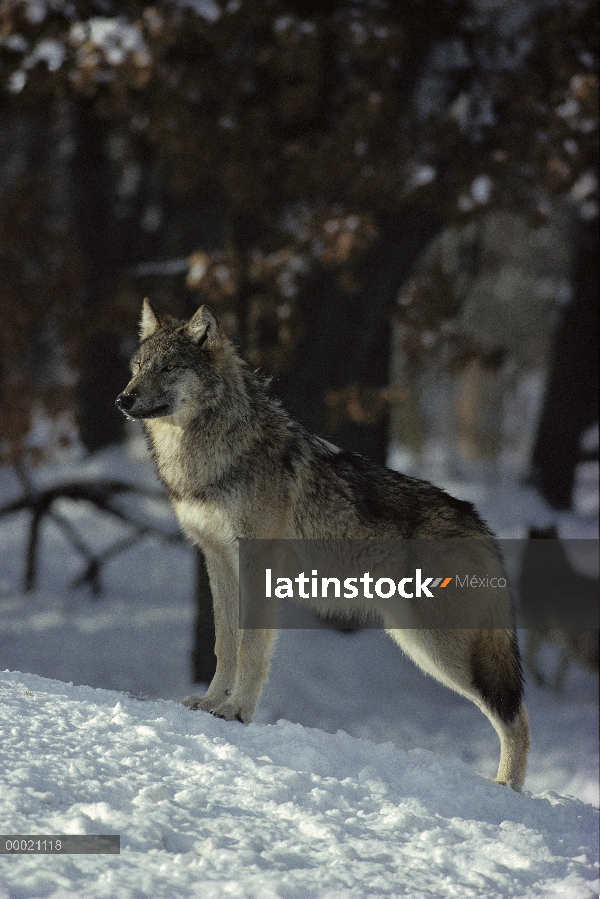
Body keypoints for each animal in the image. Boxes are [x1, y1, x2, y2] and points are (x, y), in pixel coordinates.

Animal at [116, 300, 528, 788]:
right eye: (137, 367)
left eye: (168, 368)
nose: (122, 399)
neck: (212, 457)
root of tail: (480, 523)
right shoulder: (216, 562)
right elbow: (225, 644)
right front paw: (212, 704)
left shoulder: (257, 564)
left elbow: (251, 649)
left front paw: (237, 712)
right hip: (419, 644)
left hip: (439, 647)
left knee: (516, 717)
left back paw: (507, 789)